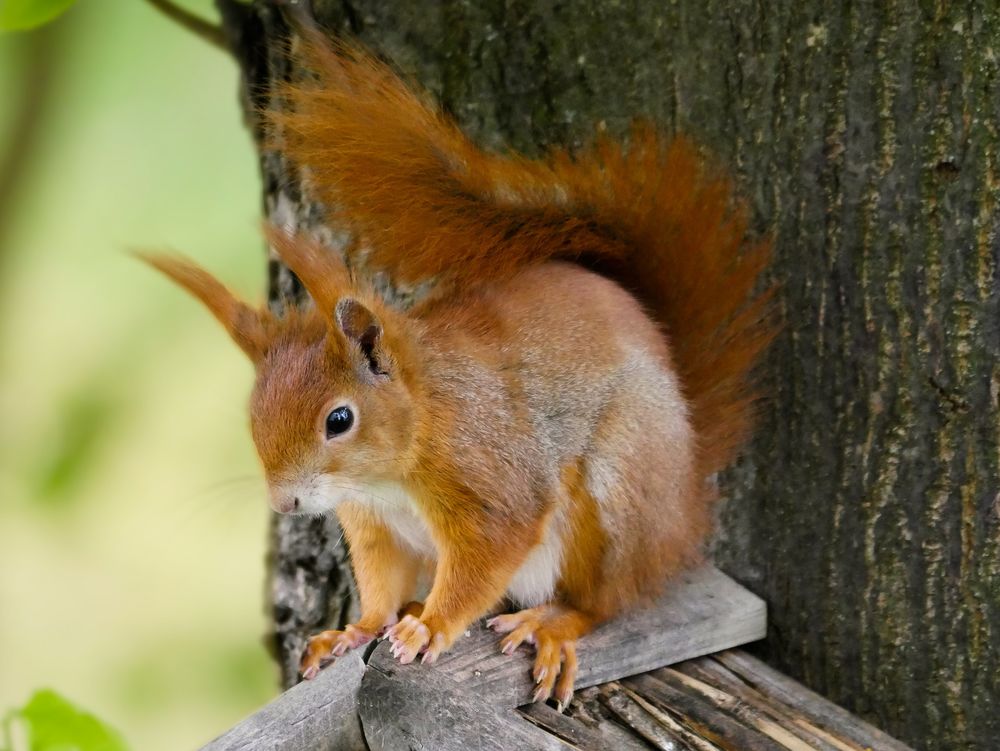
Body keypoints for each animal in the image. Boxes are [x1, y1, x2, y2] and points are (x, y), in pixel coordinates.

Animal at [140, 38, 772, 710]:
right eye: (253, 415)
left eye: (339, 419)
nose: (285, 503)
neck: (400, 457)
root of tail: (684, 506)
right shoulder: (376, 526)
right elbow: (380, 582)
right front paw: (358, 629)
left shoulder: (491, 481)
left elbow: (485, 559)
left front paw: (432, 627)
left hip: (617, 498)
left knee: (603, 600)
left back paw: (550, 623)